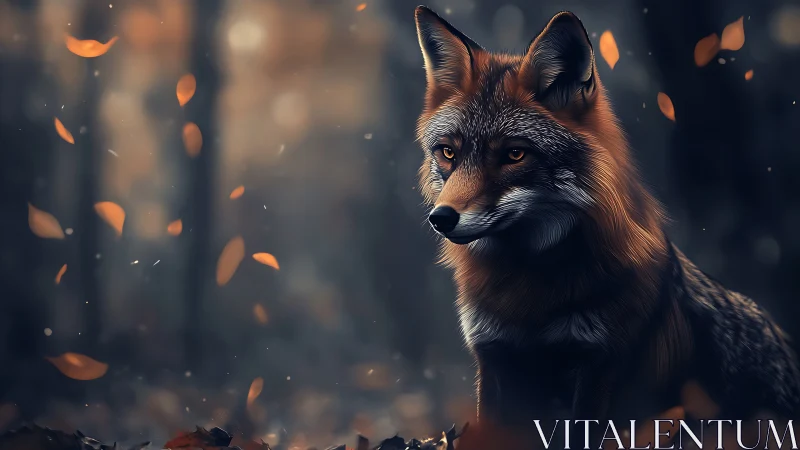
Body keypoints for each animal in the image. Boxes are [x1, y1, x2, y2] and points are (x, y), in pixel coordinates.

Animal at [413, 4, 800, 433]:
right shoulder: (494, 356)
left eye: (514, 155)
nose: (441, 218)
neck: (526, 297)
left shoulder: (602, 363)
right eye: (448, 153)